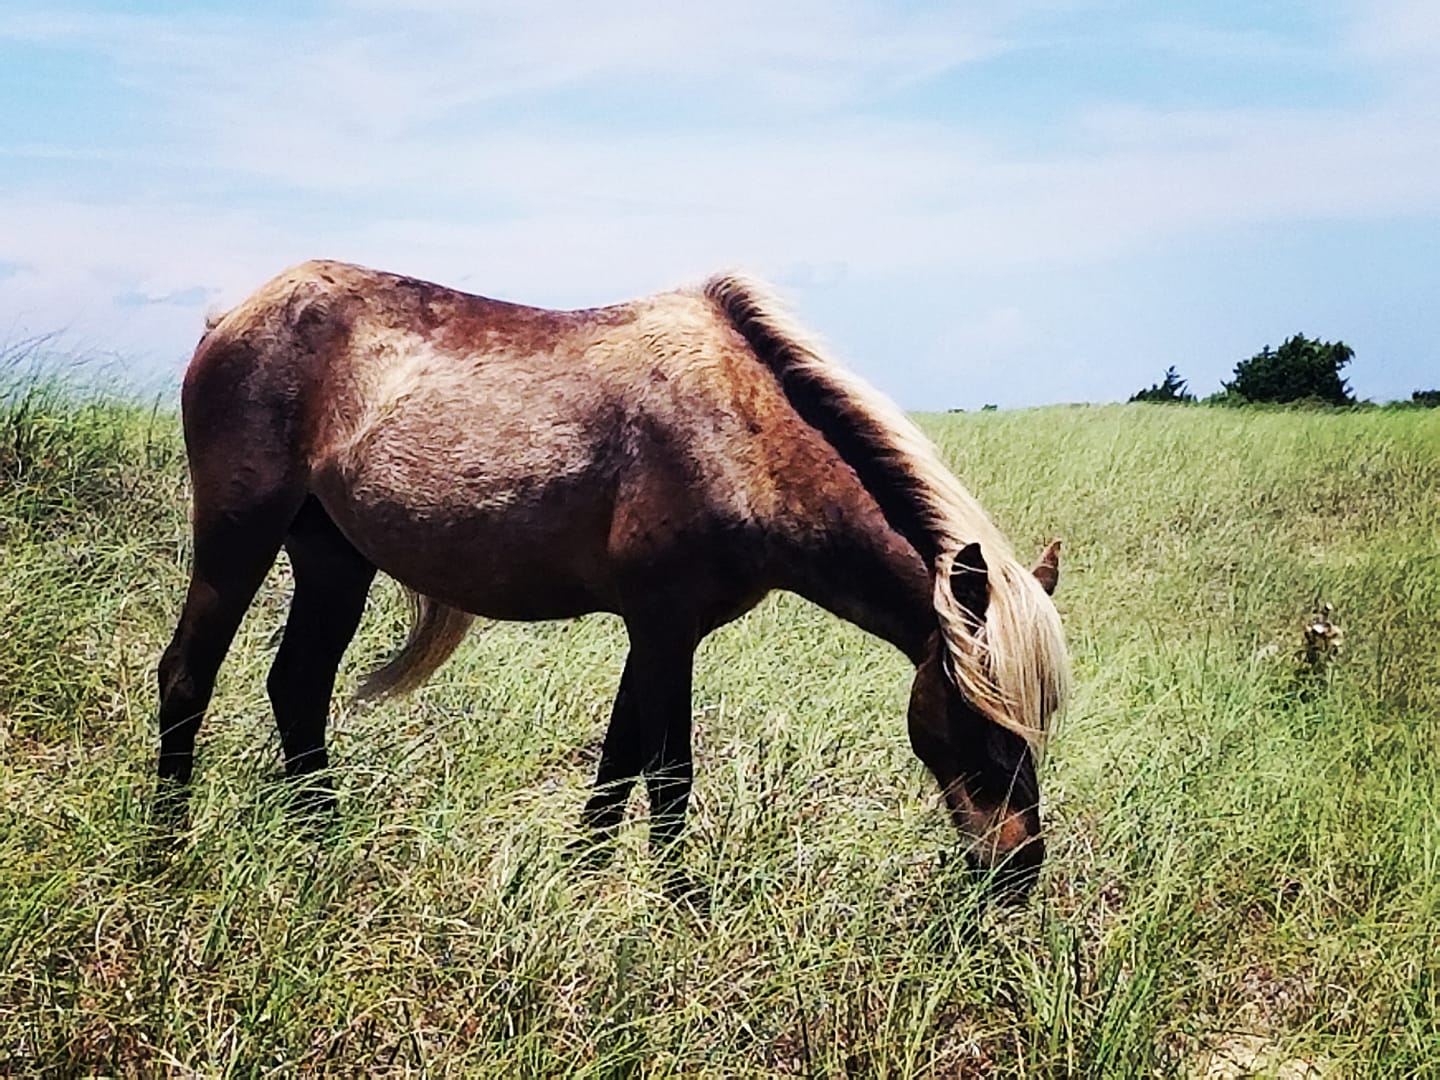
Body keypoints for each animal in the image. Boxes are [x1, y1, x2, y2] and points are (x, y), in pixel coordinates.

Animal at [157, 260, 1070, 894]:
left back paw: (325, 841)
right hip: (239, 535)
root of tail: (232, 315)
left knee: (298, 687)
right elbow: (667, 773)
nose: (1018, 871)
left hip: (332, 559)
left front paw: (584, 881)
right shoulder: (666, 625)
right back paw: (166, 846)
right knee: (187, 674)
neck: (742, 432)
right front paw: (676, 909)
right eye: (983, 718)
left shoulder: (662, 628)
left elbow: (618, 761)